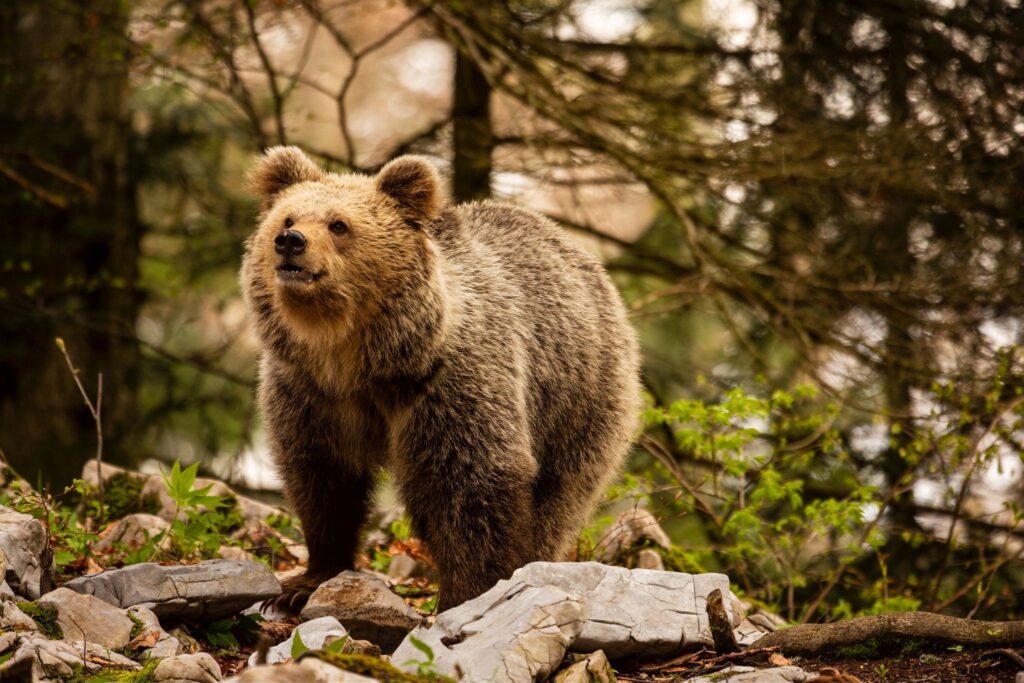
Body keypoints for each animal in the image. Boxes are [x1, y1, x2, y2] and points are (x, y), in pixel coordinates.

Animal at [240, 147, 638, 610]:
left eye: (338, 224)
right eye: (287, 217)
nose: (290, 241)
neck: (356, 359)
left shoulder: (448, 385)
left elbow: (472, 482)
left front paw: (467, 594)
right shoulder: (309, 392)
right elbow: (323, 478)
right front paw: (305, 582)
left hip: (579, 396)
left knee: (559, 496)